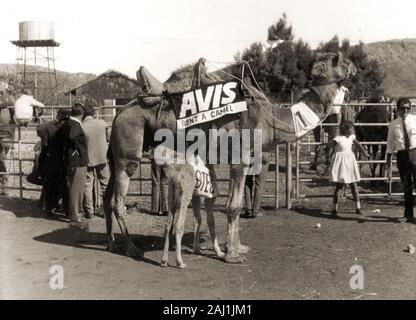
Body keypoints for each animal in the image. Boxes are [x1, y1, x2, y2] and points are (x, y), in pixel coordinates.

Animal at [103, 52, 354, 264]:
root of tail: (117, 114)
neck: (269, 118)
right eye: (338, 59)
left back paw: (111, 244)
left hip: (115, 156)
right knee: (118, 201)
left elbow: (237, 203)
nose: (353, 66)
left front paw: (238, 247)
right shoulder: (239, 156)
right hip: (128, 151)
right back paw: (132, 249)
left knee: (107, 197)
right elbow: (233, 206)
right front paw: (232, 255)